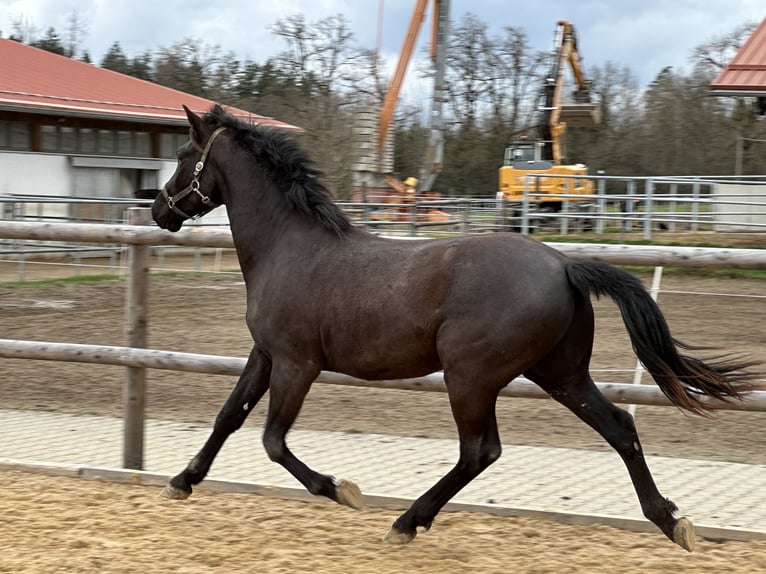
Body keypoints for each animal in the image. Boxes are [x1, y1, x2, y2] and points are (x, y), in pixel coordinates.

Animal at [148, 106, 756, 556]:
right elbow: (229, 416)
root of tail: (564, 265)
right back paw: (671, 521)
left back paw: (406, 522)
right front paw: (182, 482)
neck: (288, 247)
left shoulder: (298, 364)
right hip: (560, 374)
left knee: (479, 451)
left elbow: (273, 441)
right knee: (620, 427)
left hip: (470, 376)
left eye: (182, 155)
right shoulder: (266, 353)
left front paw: (343, 491)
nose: (159, 211)